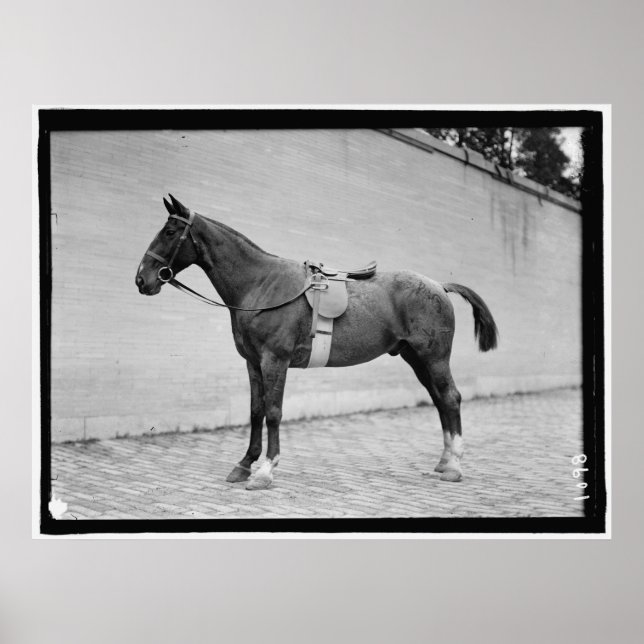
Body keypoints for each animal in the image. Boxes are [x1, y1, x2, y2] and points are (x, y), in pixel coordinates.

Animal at [136, 194, 499, 490]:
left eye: (170, 232)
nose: (142, 279)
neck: (261, 285)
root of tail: (439, 285)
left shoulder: (275, 360)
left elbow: (273, 412)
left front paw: (265, 471)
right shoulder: (253, 362)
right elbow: (255, 411)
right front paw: (244, 465)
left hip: (434, 358)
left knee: (450, 398)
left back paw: (454, 466)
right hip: (416, 358)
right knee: (440, 400)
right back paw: (444, 460)